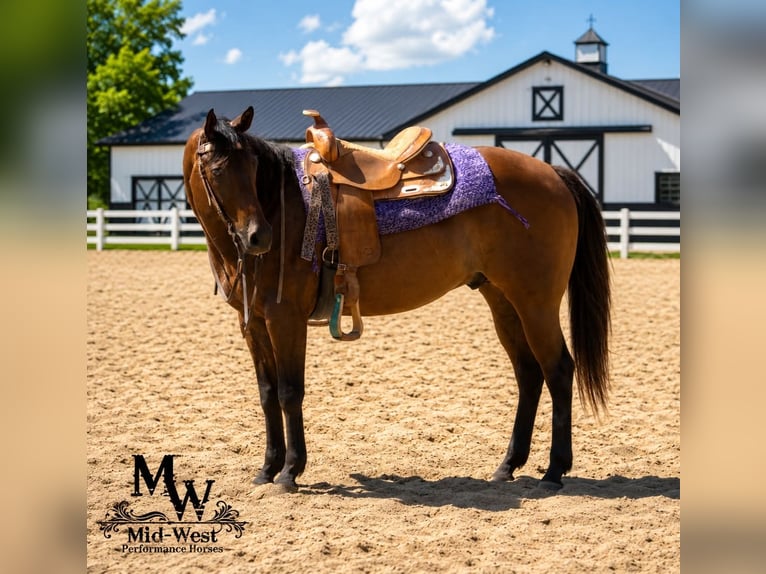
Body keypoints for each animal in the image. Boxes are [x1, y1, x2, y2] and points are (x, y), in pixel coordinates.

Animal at [182, 106, 611, 491]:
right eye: (218, 171)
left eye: (253, 169)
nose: (259, 237)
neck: (284, 204)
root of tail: (553, 173)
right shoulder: (253, 323)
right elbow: (267, 393)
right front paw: (267, 469)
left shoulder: (284, 318)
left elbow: (290, 392)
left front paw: (290, 471)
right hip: (504, 302)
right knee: (529, 374)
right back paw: (508, 465)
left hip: (536, 304)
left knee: (558, 370)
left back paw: (554, 470)